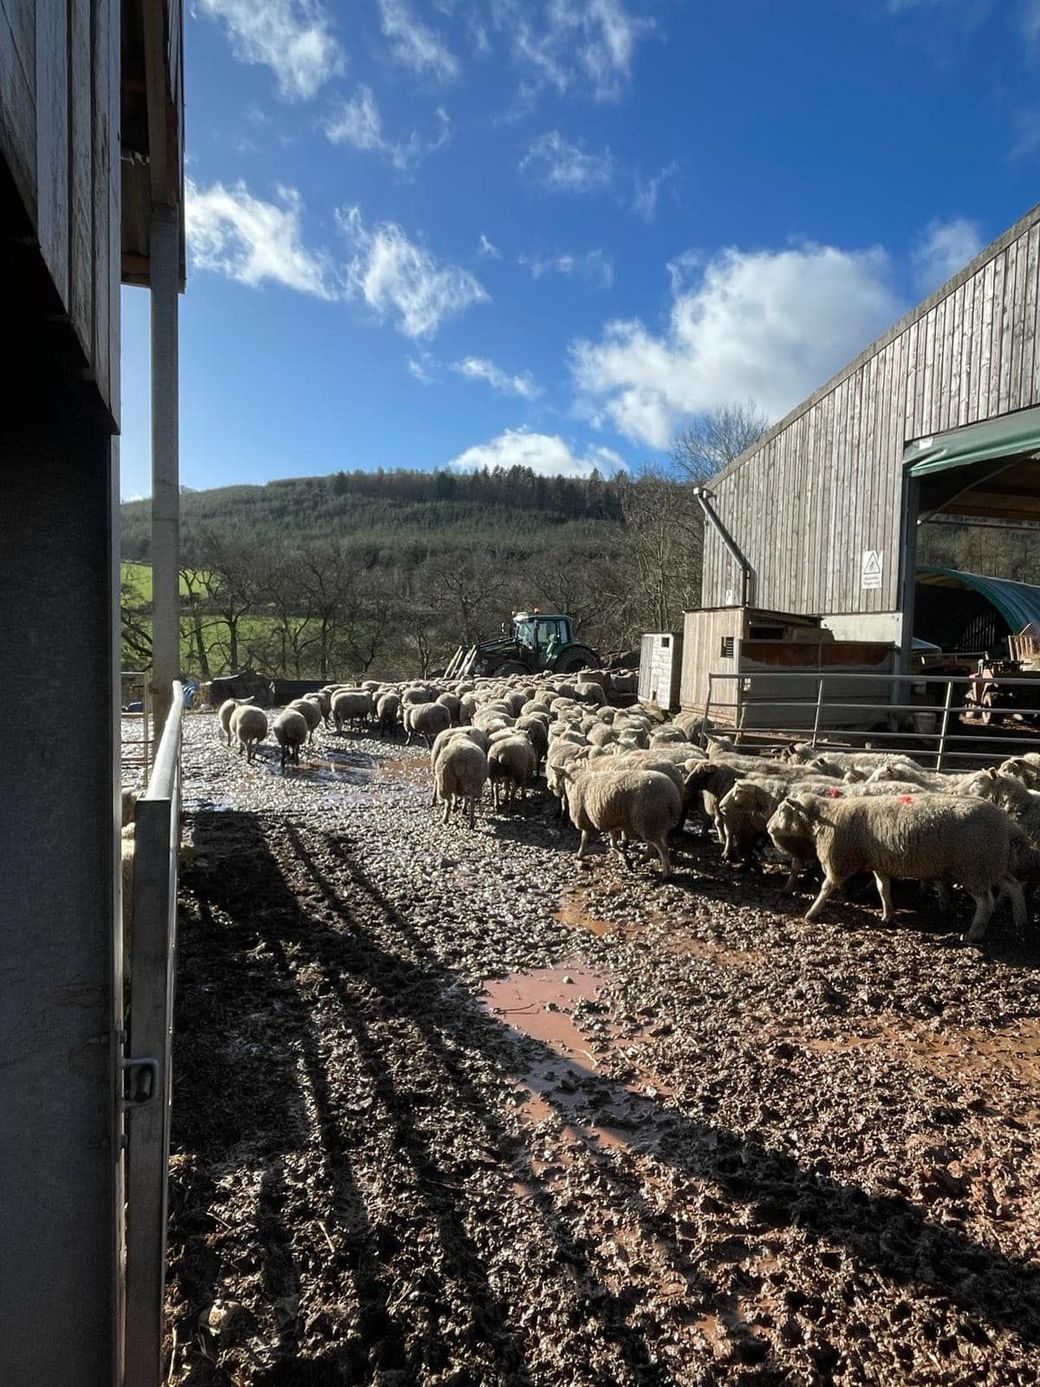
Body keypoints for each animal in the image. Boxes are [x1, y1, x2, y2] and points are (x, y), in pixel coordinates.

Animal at [767, 792, 1030, 940]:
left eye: (782, 810)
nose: (768, 827)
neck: (826, 816)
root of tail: (1007, 824)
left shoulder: (839, 859)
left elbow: (826, 887)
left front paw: (812, 913)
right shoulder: (879, 860)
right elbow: (883, 888)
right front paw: (887, 914)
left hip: (974, 866)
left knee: (986, 902)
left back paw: (974, 933)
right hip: (992, 863)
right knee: (1015, 886)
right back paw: (1020, 922)